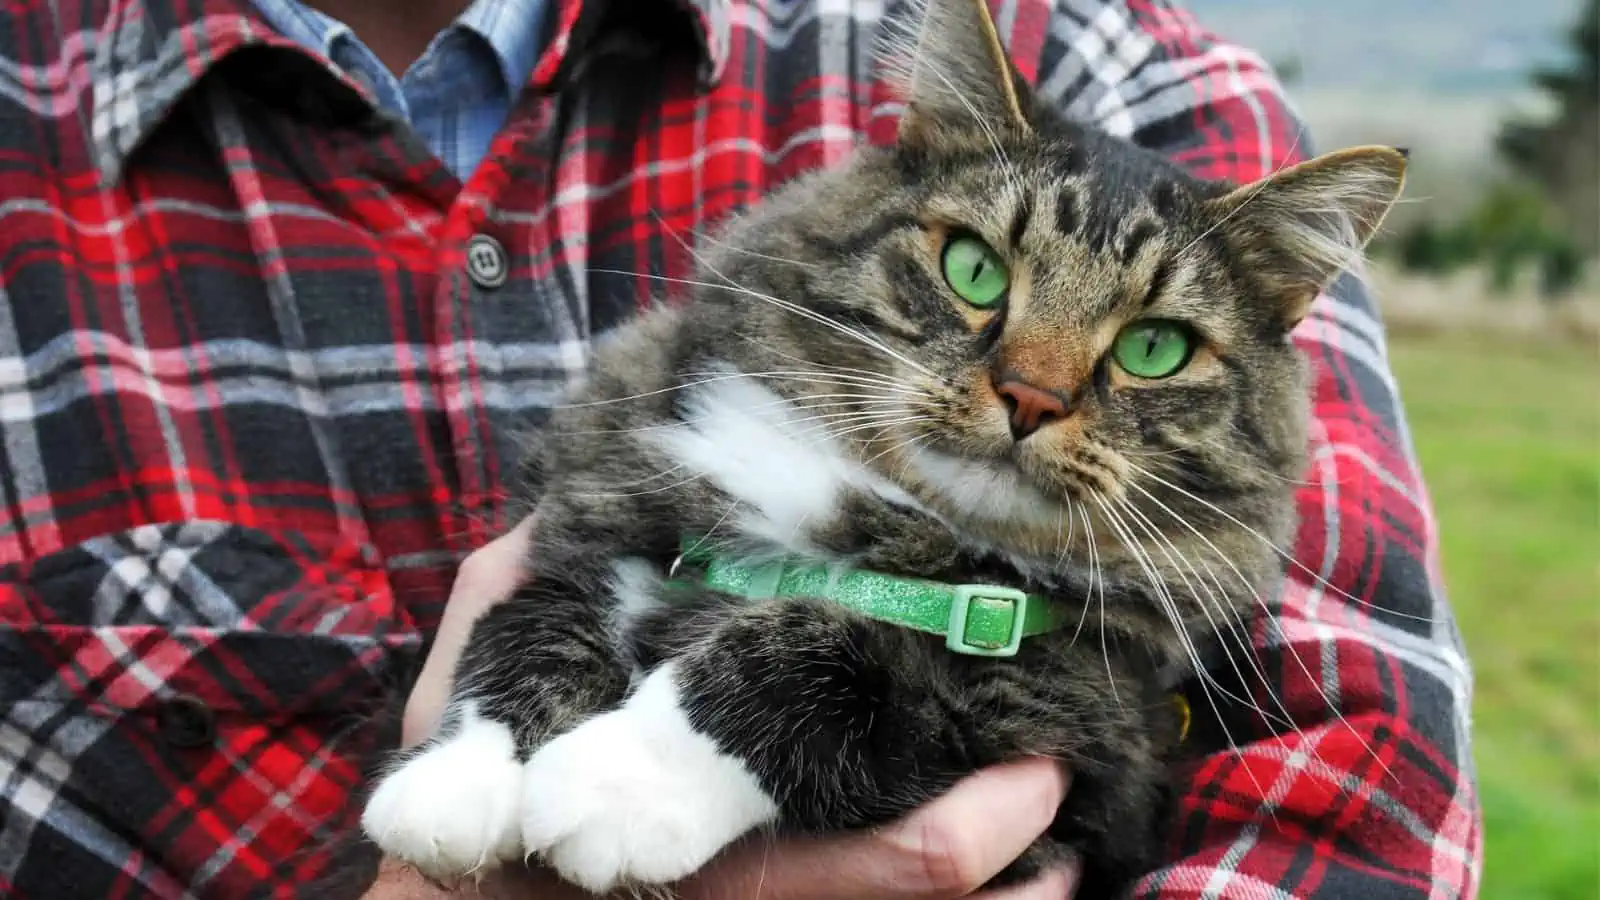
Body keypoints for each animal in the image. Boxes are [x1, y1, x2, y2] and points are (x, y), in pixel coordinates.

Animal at [356, 0, 1408, 890]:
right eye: (975, 271)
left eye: (1154, 349)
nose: (1031, 397)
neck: (870, 518)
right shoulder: (612, 511)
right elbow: (531, 627)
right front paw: (456, 784)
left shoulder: (1070, 707)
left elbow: (819, 656)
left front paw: (617, 784)